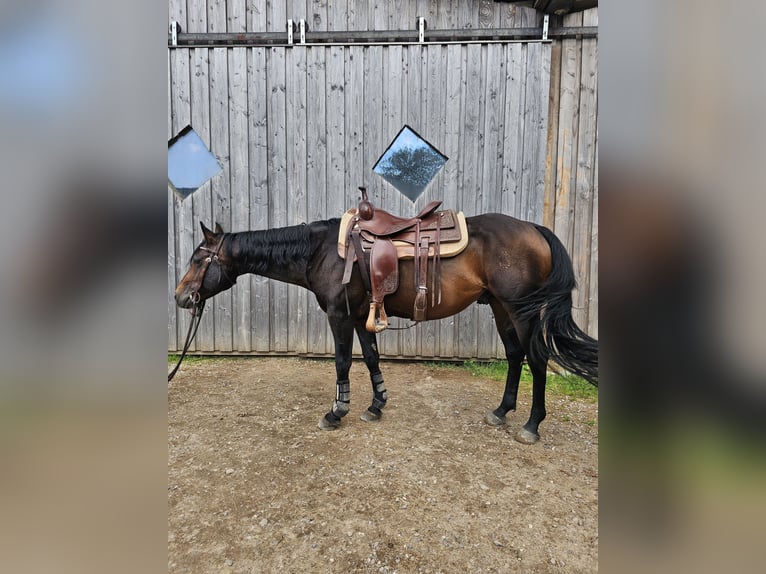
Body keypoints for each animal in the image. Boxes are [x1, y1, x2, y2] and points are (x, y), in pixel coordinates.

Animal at [173, 212, 598, 444]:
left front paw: (336, 411)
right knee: (514, 355)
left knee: (536, 360)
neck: (322, 251)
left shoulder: (339, 315)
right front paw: (375, 406)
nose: (180, 297)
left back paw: (531, 424)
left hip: (521, 311)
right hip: (499, 307)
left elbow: (343, 363)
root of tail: (534, 228)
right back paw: (501, 410)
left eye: (198, 258)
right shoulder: (362, 314)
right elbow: (372, 358)